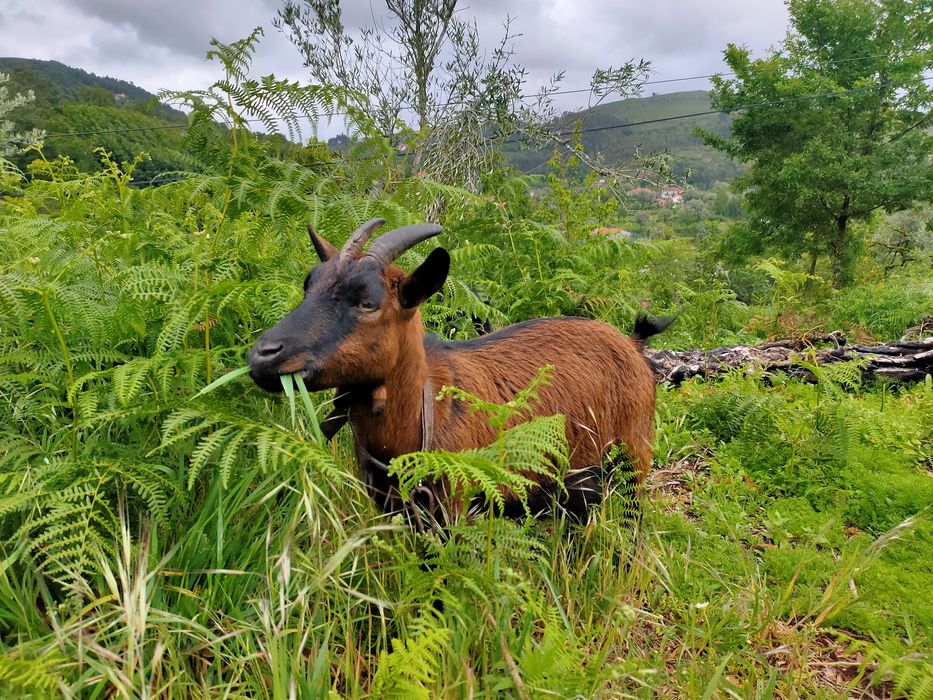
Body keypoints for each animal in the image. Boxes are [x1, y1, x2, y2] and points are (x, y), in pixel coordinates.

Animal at [247, 219, 670, 522]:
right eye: (309, 284)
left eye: (368, 302)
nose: (263, 356)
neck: (423, 410)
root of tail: (631, 344)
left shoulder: (454, 505)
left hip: (633, 457)